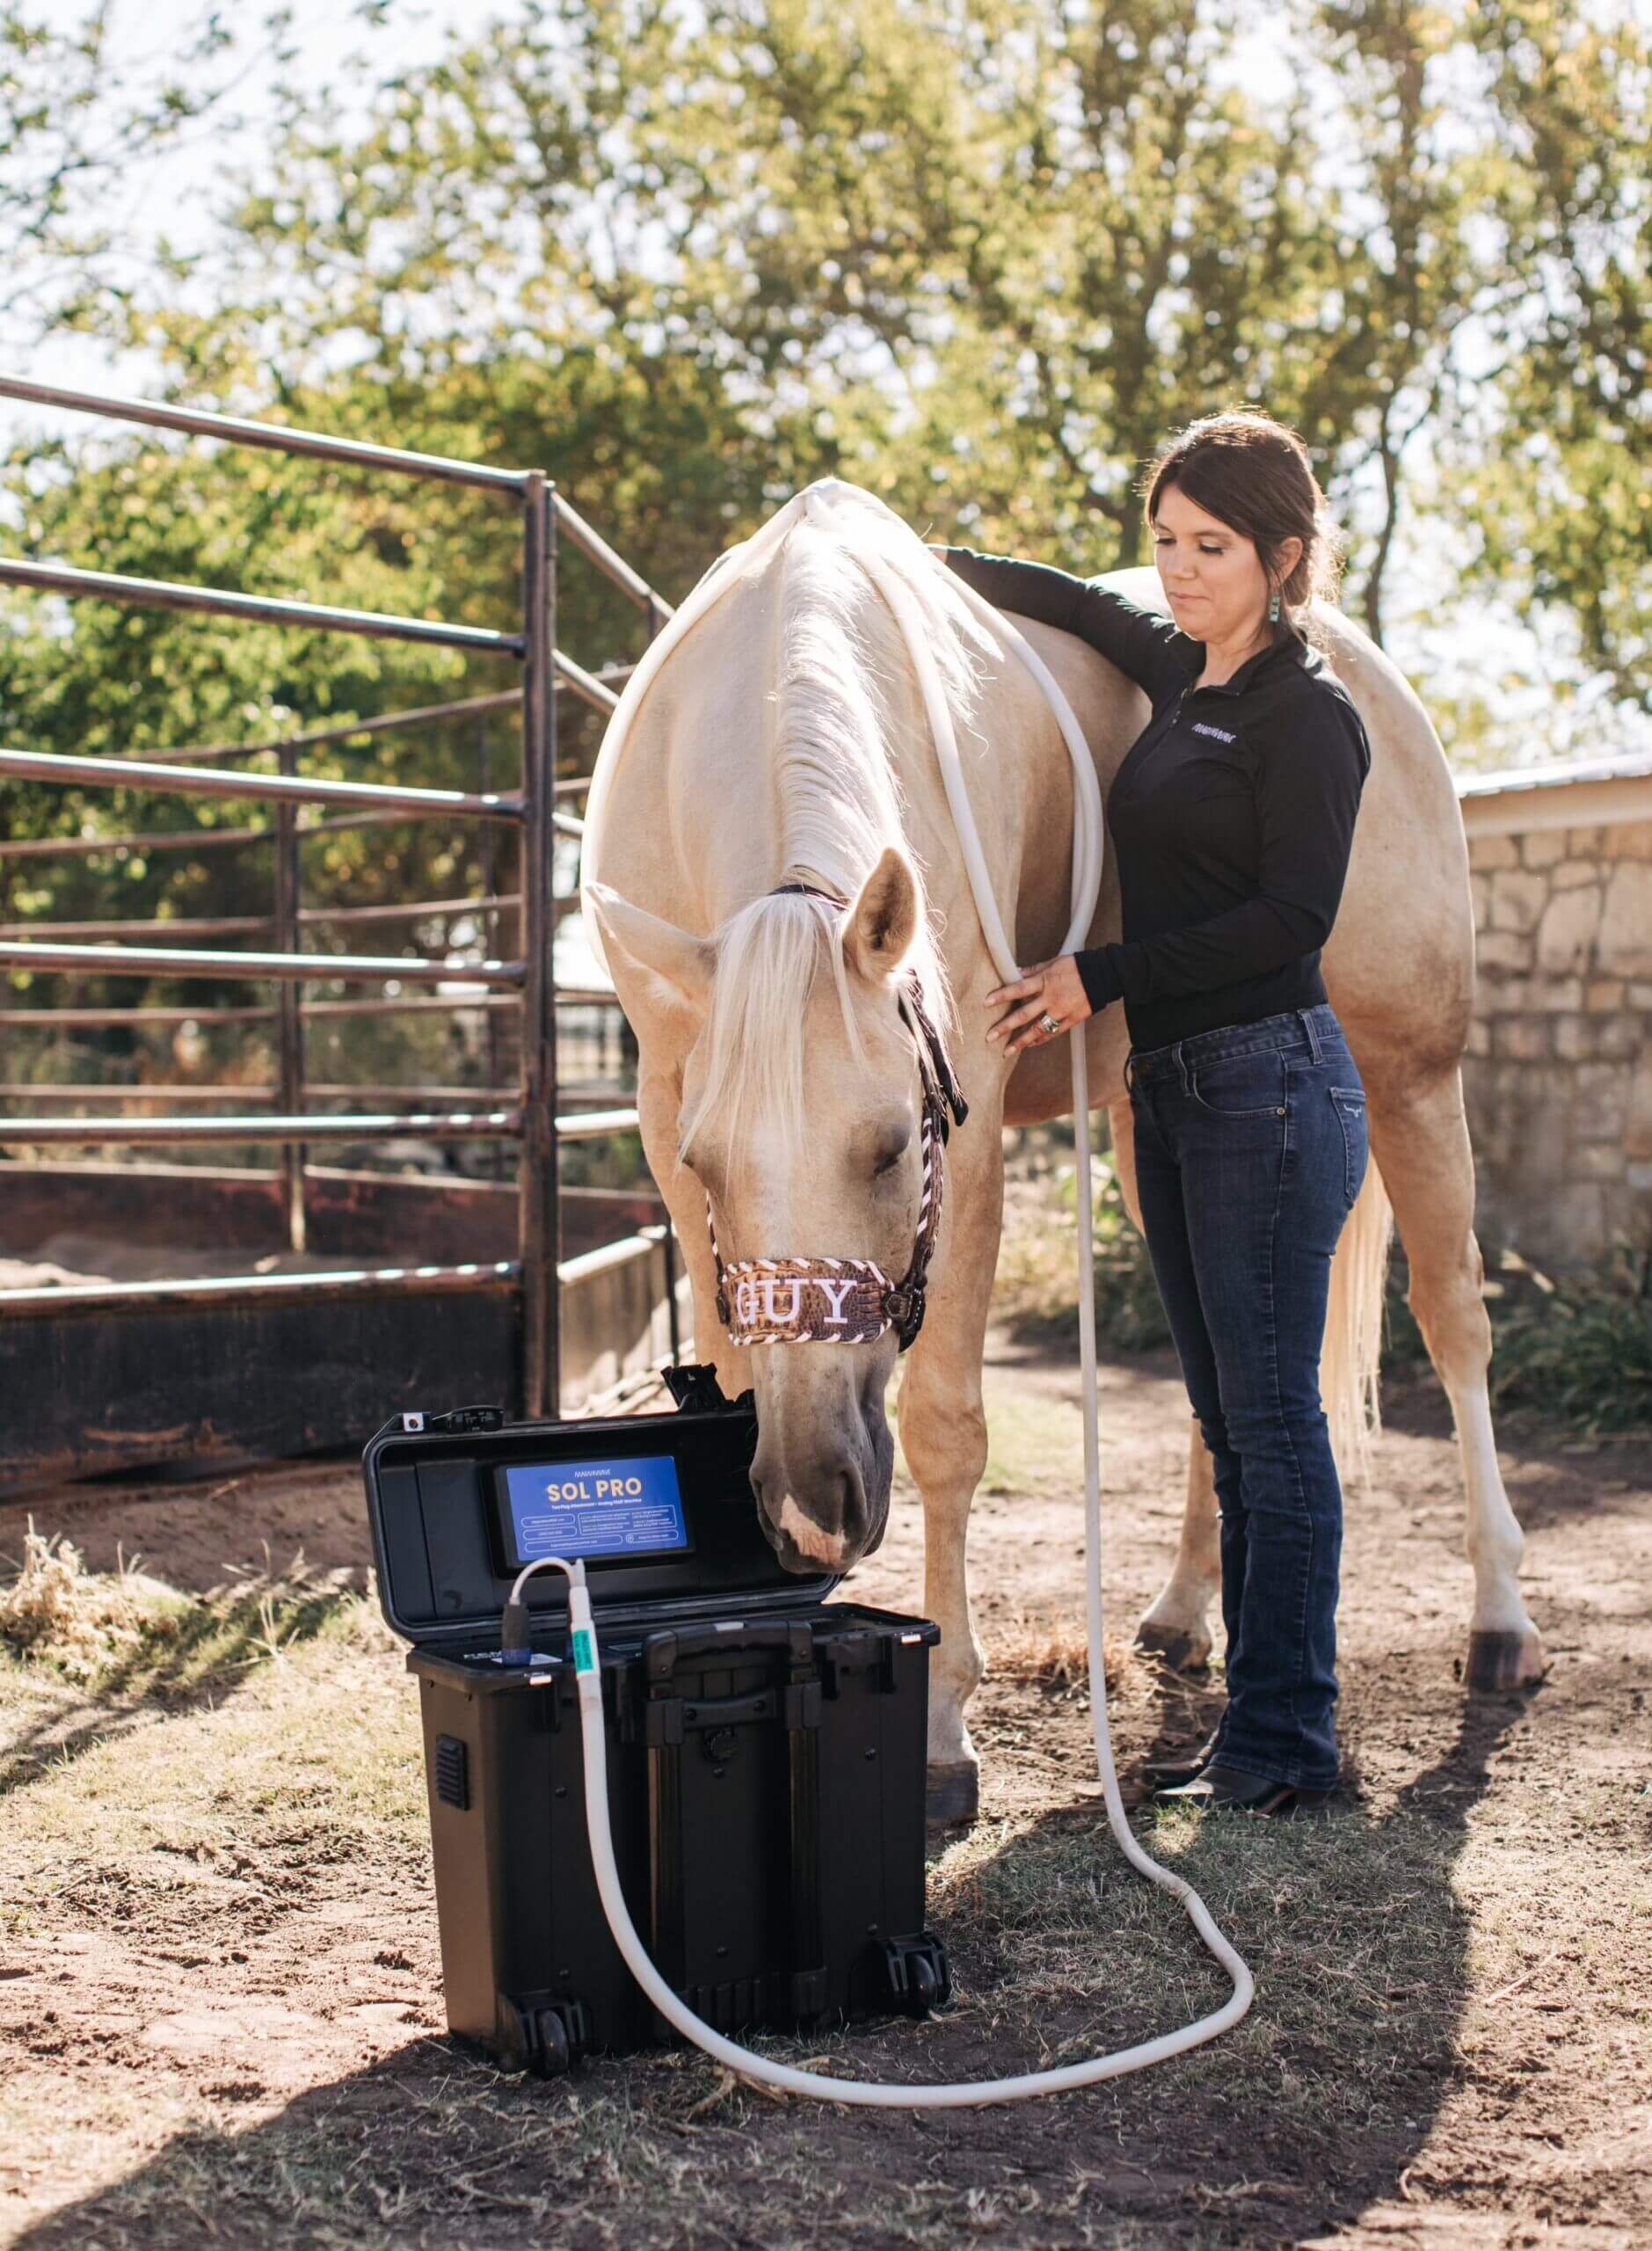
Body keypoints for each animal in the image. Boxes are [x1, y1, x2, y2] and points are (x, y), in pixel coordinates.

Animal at [579, 476, 1545, 1826]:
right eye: (710, 1164)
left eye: (892, 1150)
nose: (816, 1506)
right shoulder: (665, 1112)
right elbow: (724, 1380)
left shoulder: (973, 1135)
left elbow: (946, 1430)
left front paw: (940, 1730)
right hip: (1153, 1132)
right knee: (1217, 1368)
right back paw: (1186, 1613)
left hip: (1411, 1073)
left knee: (1453, 1323)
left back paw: (1499, 1620)